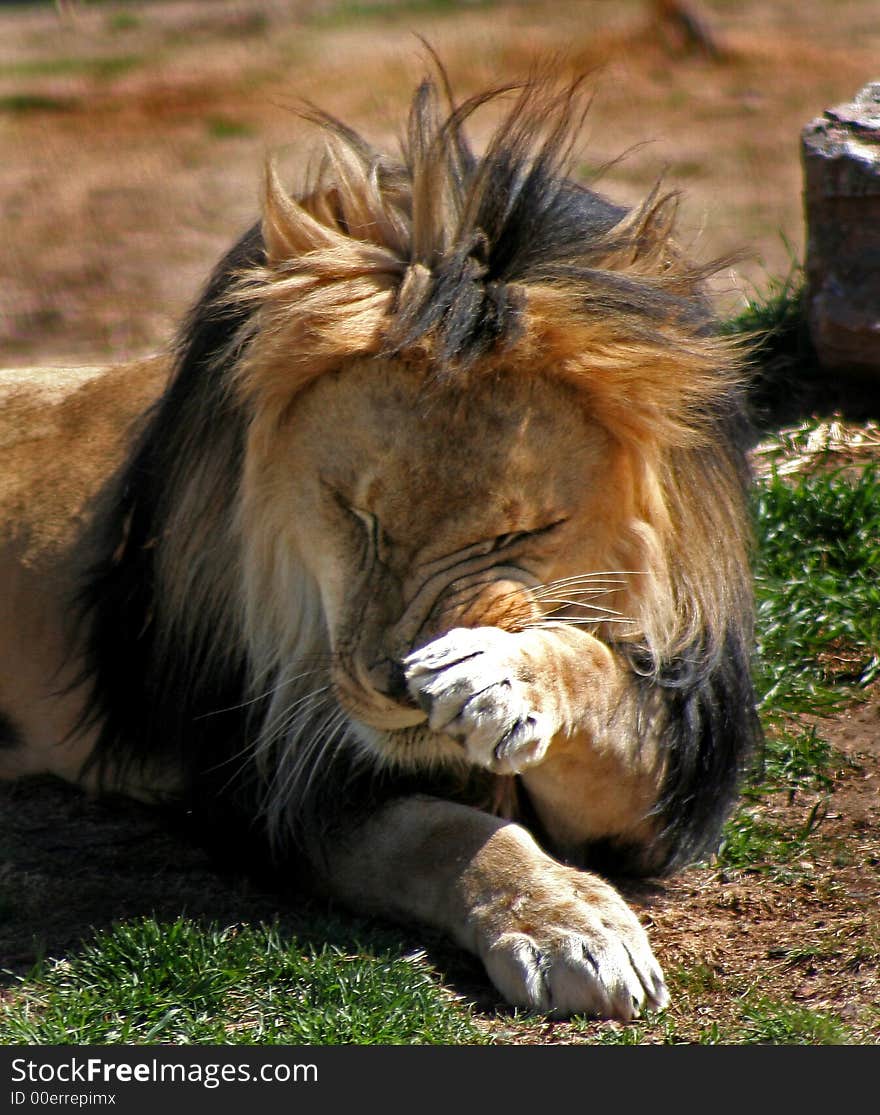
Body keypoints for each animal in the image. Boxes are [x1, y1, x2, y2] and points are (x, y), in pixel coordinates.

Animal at [0, 74, 753, 1021]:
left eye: (519, 533)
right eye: (356, 516)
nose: (395, 684)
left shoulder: (661, 789)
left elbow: (600, 677)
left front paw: (504, 675)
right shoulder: (273, 783)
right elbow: (449, 833)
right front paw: (570, 924)